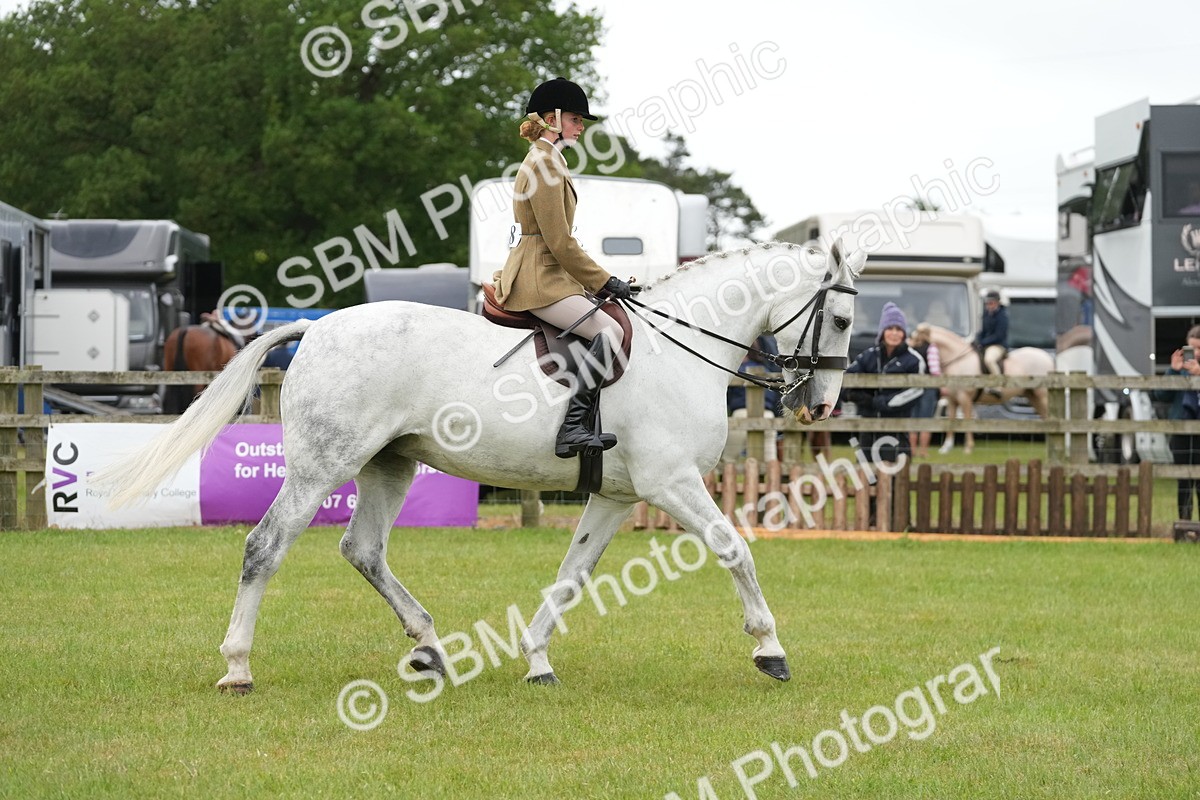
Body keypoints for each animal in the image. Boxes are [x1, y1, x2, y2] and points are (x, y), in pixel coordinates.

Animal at [94, 240, 866, 693]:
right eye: (841, 321)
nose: (820, 405)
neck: (676, 350)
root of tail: (316, 326)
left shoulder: (617, 496)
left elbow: (571, 576)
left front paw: (537, 660)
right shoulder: (669, 483)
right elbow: (735, 550)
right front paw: (770, 650)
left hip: (388, 465)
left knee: (363, 549)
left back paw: (431, 649)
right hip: (323, 465)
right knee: (266, 546)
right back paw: (238, 666)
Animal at [925, 325, 1054, 455]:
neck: (958, 360)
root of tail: (1047, 357)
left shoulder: (965, 398)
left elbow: (966, 419)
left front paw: (968, 448)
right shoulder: (952, 399)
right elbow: (951, 420)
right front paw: (946, 448)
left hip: (1042, 395)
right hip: (1033, 396)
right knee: (1045, 418)